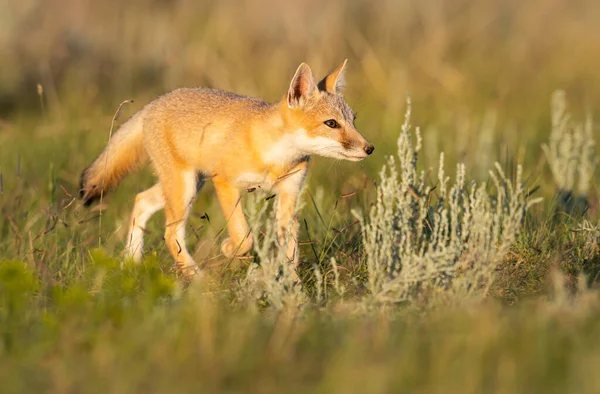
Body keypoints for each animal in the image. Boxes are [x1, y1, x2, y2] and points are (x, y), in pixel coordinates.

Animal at [78, 60, 372, 278]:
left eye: (353, 120)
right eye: (331, 124)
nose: (369, 148)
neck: (274, 157)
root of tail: (154, 103)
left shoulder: (290, 193)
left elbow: (290, 251)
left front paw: (292, 290)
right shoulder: (225, 183)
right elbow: (244, 236)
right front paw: (230, 249)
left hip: (188, 185)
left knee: (141, 201)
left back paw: (131, 262)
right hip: (185, 189)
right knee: (171, 234)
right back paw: (196, 278)